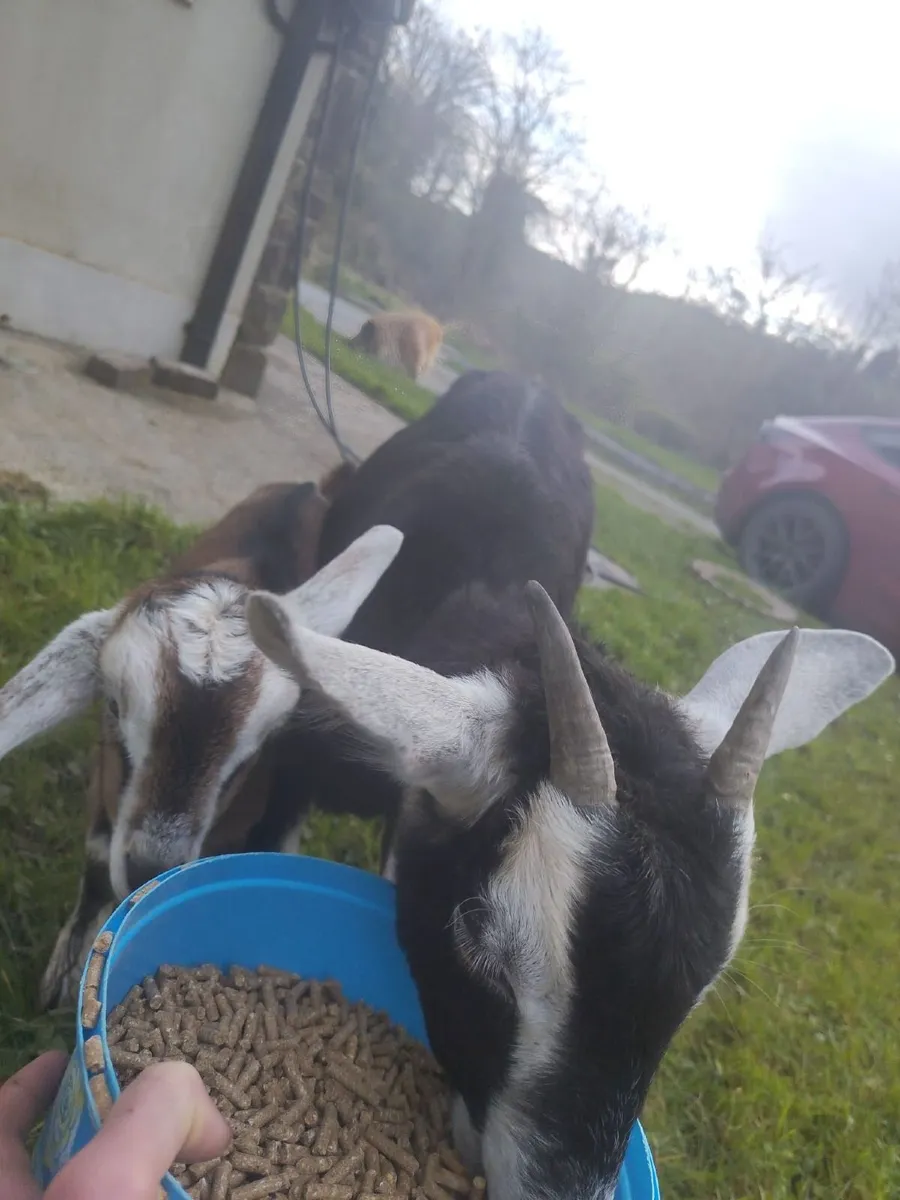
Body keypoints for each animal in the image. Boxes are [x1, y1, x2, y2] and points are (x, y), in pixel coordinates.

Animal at [0, 479, 402, 1009]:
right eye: (112, 706)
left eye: (261, 746)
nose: (148, 867)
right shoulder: (103, 787)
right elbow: (97, 858)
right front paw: (64, 978)